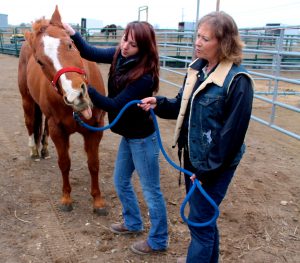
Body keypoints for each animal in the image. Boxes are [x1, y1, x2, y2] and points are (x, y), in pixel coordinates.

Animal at [17, 5, 108, 217]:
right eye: (40, 61)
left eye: (70, 44)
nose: (77, 95)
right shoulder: (58, 130)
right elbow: (64, 163)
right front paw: (66, 199)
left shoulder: (95, 129)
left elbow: (94, 164)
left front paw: (98, 201)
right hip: (27, 100)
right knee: (29, 122)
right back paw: (34, 150)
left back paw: (43, 149)